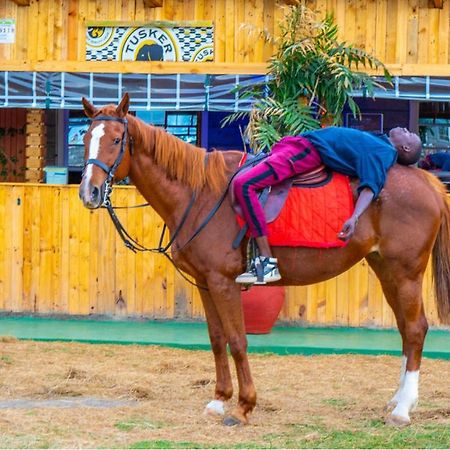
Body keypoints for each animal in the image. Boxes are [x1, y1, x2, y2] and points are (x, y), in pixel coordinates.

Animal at [79, 93, 450, 428]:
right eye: (85, 138)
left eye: (116, 140)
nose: (89, 192)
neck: (200, 193)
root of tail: (428, 183)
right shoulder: (205, 282)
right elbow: (217, 340)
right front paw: (219, 400)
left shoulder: (223, 282)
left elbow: (238, 340)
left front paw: (244, 406)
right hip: (386, 270)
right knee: (405, 329)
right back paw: (398, 400)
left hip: (406, 273)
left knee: (415, 329)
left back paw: (403, 409)